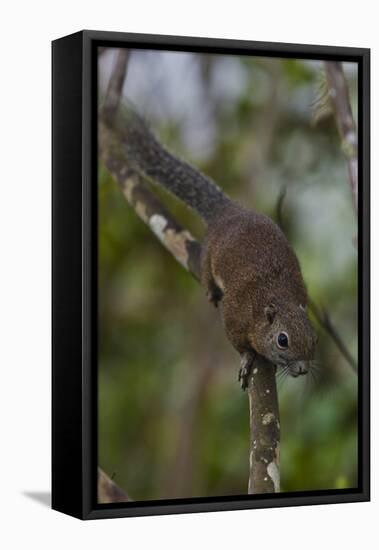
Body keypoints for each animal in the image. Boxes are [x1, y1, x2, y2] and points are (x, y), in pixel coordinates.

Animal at [115, 108, 318, 390]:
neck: (277, 297)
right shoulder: (235, 316)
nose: (303, 369)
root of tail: (229, 212)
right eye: (282, 340)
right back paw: (211, 290)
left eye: (314, 338)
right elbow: (239, 344)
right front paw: (247, 359)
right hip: (209, 253)